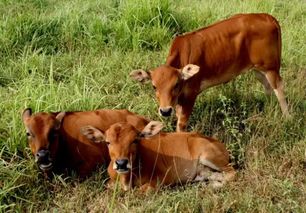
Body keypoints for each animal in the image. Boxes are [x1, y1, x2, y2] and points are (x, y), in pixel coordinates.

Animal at [80, 121, 234, 191]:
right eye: (107, 142)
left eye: (135, 140)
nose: (121, 163)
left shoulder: (163, 178)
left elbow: (142, 190)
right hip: (204, 171)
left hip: (210, 157)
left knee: (232, 173)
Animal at [131, 13, 290, 131]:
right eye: (154, 86)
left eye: (176, 84)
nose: (165, 111)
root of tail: (267, 16)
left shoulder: (190, 94)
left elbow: (181, 123)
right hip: (258, 69)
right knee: (268, 87)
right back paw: (268, 108)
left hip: (271, 67)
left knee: (279, 88)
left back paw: (288, 117)